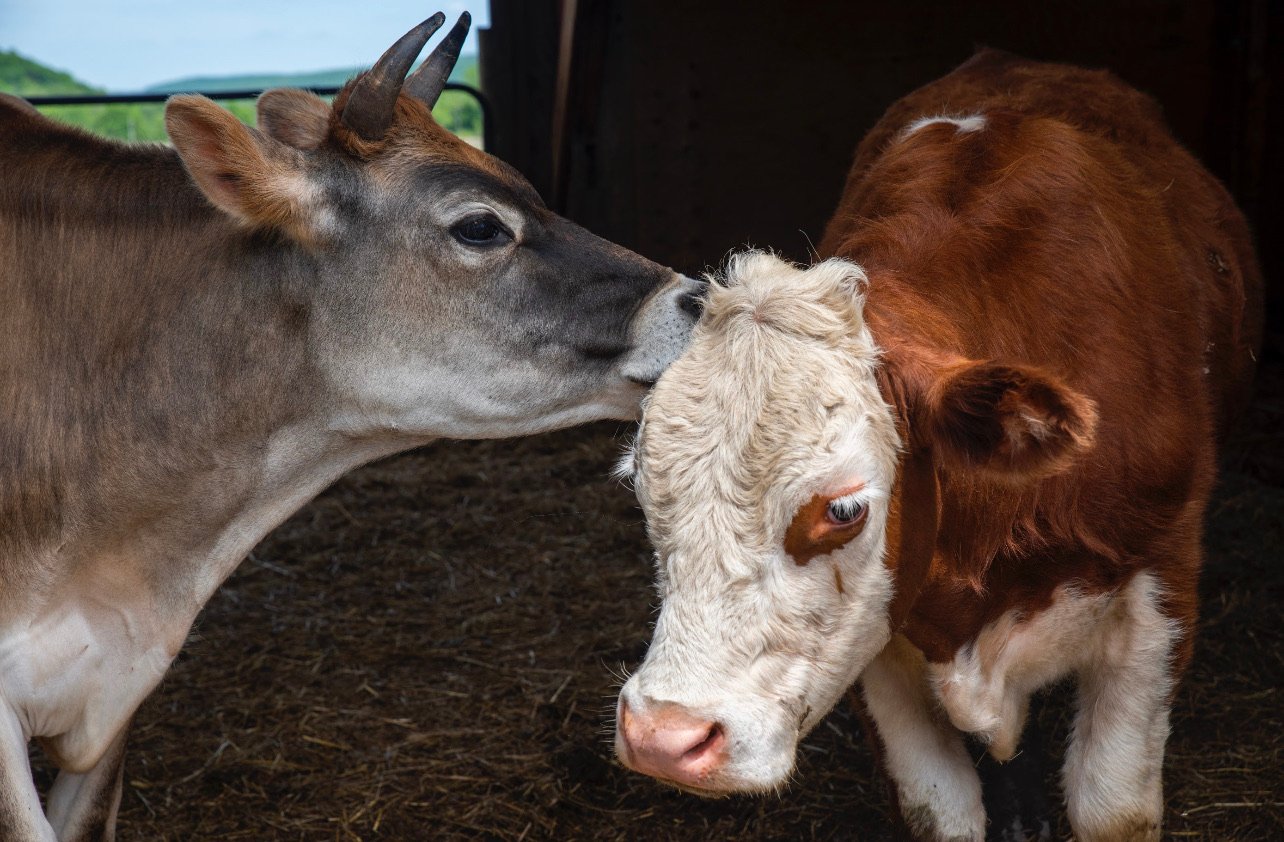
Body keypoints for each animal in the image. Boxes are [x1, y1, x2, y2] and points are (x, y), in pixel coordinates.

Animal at [612, 50, 1263, 841]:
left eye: (845, 511)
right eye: (642, 490)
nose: (663, 737)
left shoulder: (1158, 591)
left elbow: (1113, 808)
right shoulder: (876, 636)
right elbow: (939, 808)